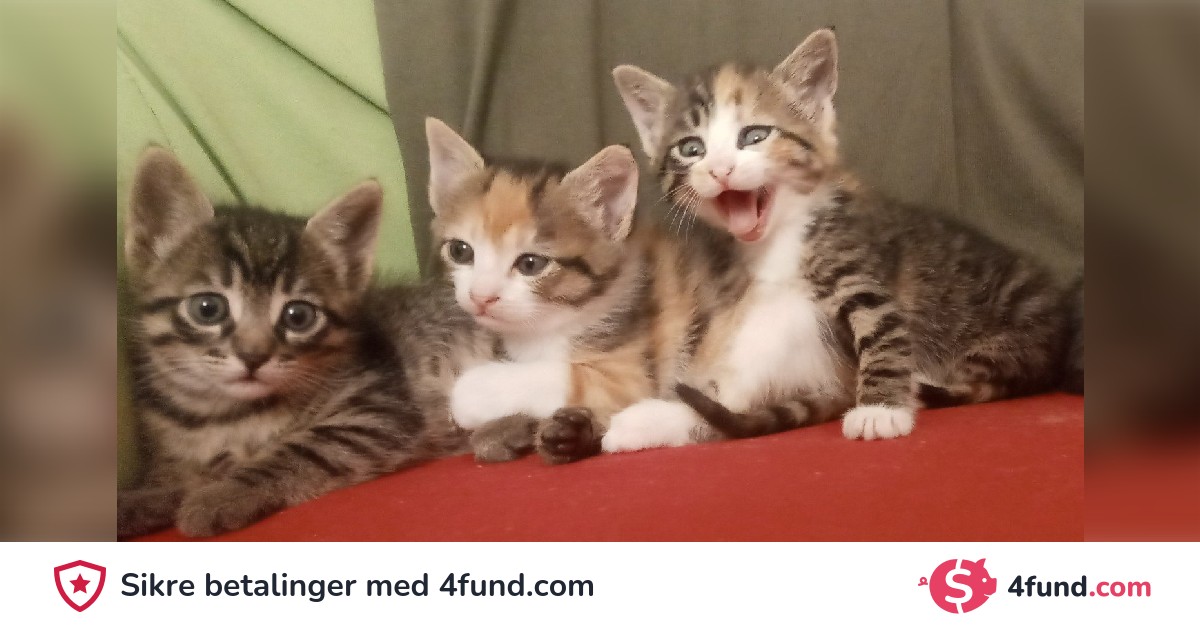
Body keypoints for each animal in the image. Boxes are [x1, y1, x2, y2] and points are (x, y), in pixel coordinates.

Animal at [119, 147, 492, 538]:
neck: (224, 414)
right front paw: (139, 499)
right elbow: (176, 476)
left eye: (298, 316)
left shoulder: (378, 411)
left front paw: (222, 495)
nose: (253, 356)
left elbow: (299, 450)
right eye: (208, 309)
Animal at [611, 27, 1076, 443]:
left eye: (755, 136)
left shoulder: (857, 263)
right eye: (691, 149)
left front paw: (880, 411)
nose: (720, 169)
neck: (777, 244)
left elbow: (882, 331)